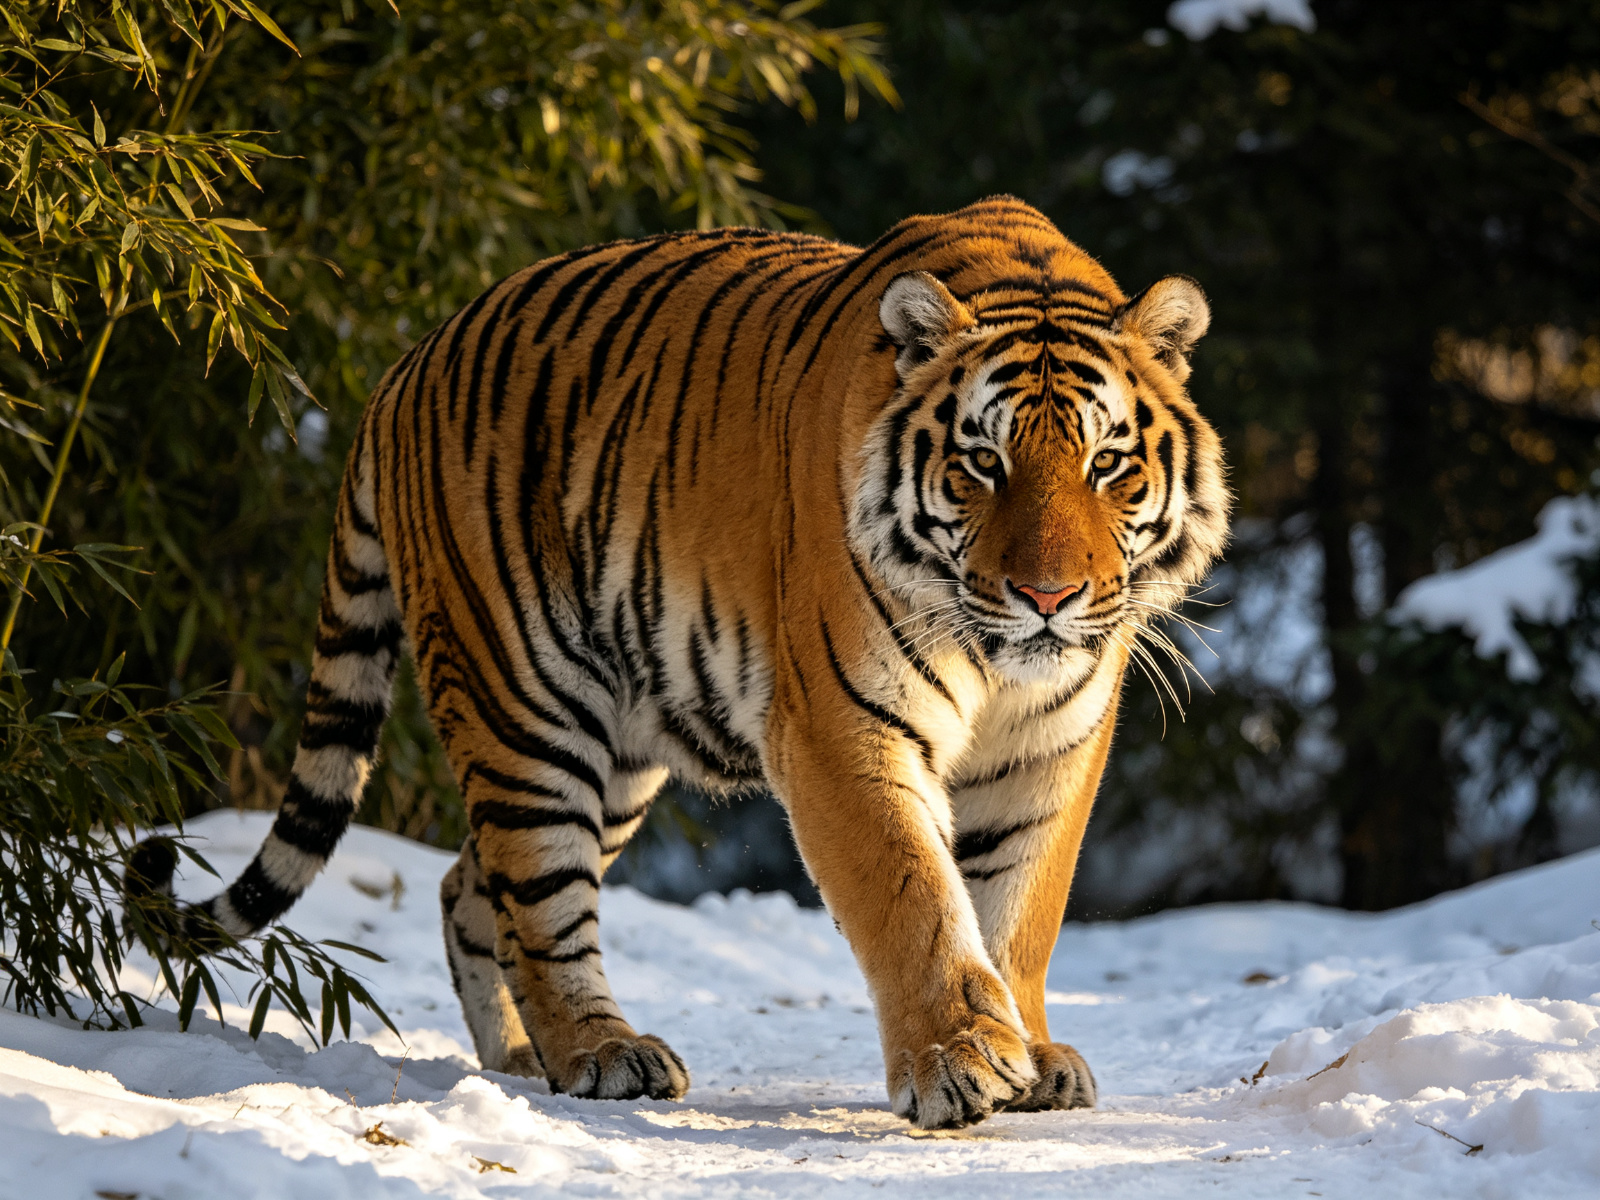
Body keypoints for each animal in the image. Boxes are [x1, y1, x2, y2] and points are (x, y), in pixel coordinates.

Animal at [134, 195, 1228, 1129]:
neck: (998, 662)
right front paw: (958, 1061)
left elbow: (1016, 910)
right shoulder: (840, 727)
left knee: (466, 887)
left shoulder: (1054, 745)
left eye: (1106, 464)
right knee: (539, 892)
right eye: (981, 464)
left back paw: (520, 1060)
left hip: (619, 749)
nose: (1047, 598)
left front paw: (1029, 1056)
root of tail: (406, 364)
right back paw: (599, 1053)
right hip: (527, 708)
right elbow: (912, 897)